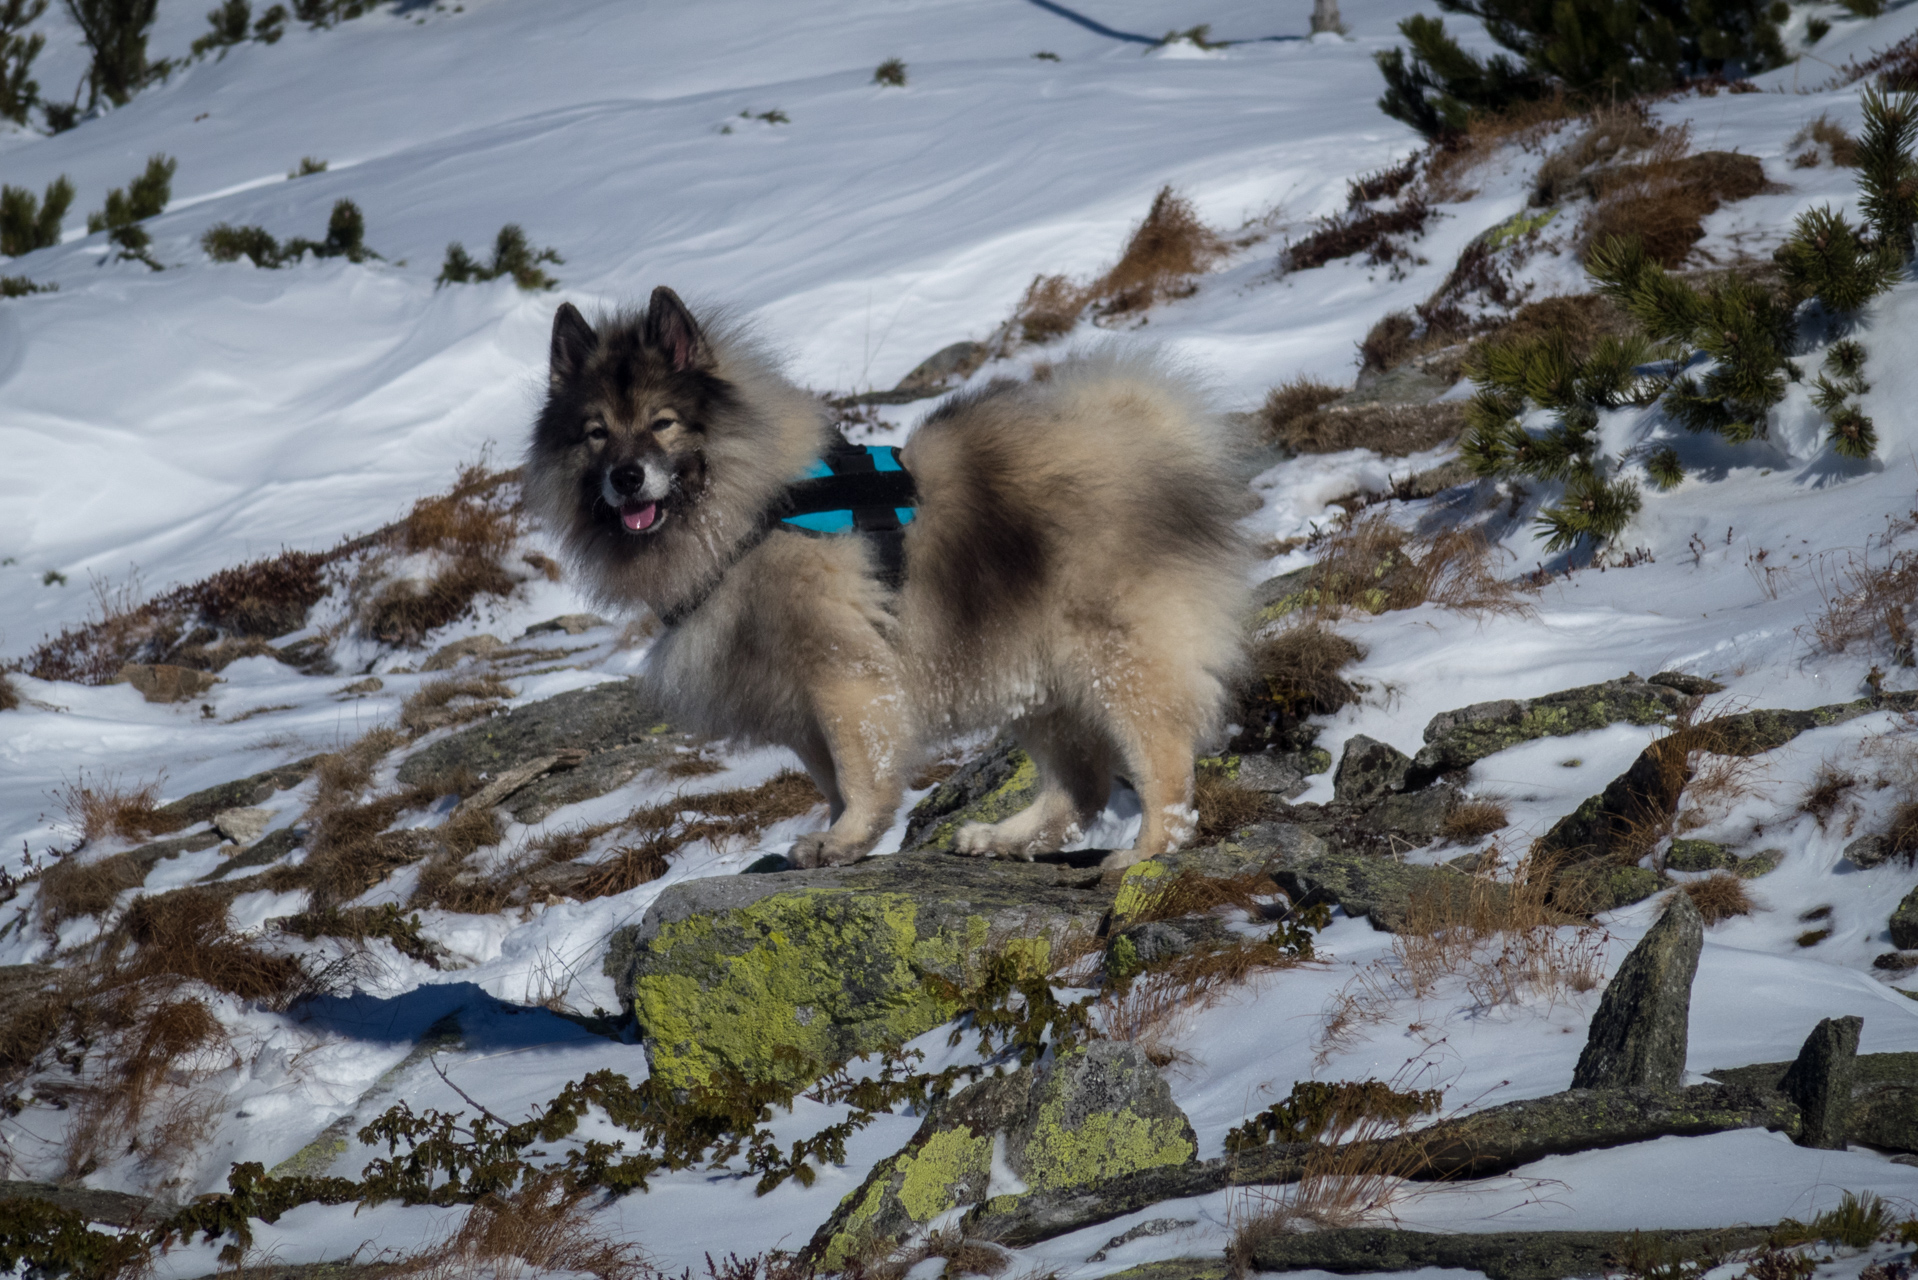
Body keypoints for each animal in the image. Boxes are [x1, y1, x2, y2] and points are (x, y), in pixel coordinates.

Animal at [525, 289, 1250, 871]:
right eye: (595, 433)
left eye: (662, 422)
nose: (626, 478)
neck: (752, 511)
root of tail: (1147, 437)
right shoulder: (800, 706)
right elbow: (833, 780)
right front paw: (844, 838)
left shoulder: (843, 677)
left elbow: (860, 771)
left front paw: (846, 839)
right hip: (1035, 675)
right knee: (1080, 787)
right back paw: (1005, 839)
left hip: (1112, 660)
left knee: (1161, 760)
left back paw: (1146, 851)